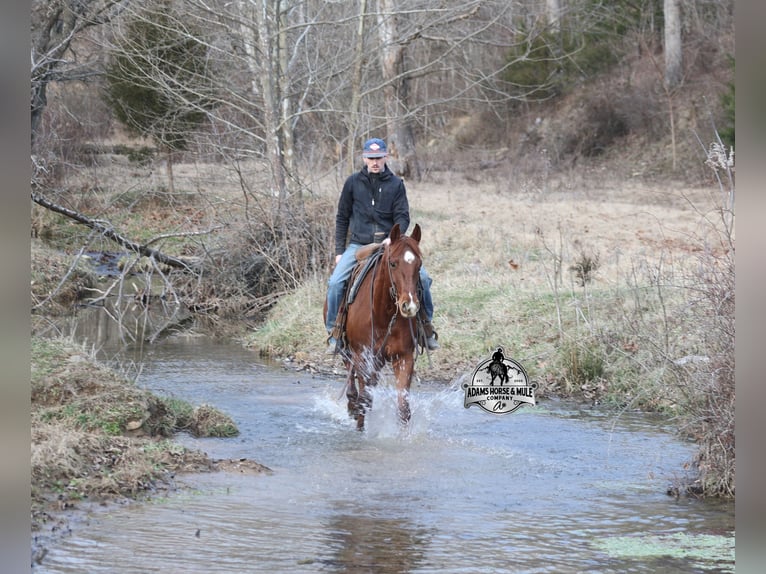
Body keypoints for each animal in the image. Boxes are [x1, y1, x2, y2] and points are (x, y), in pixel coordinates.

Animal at [324, 223, 423, 430]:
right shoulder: (362, 355)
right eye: (393, 263)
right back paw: (351, 404)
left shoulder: (404, 357)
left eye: (419, 265)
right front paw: (359, 428)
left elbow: (403, 408)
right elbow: (364, 399)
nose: (409, 306)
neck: (382, 313)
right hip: (347, 349)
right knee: (352, 378)